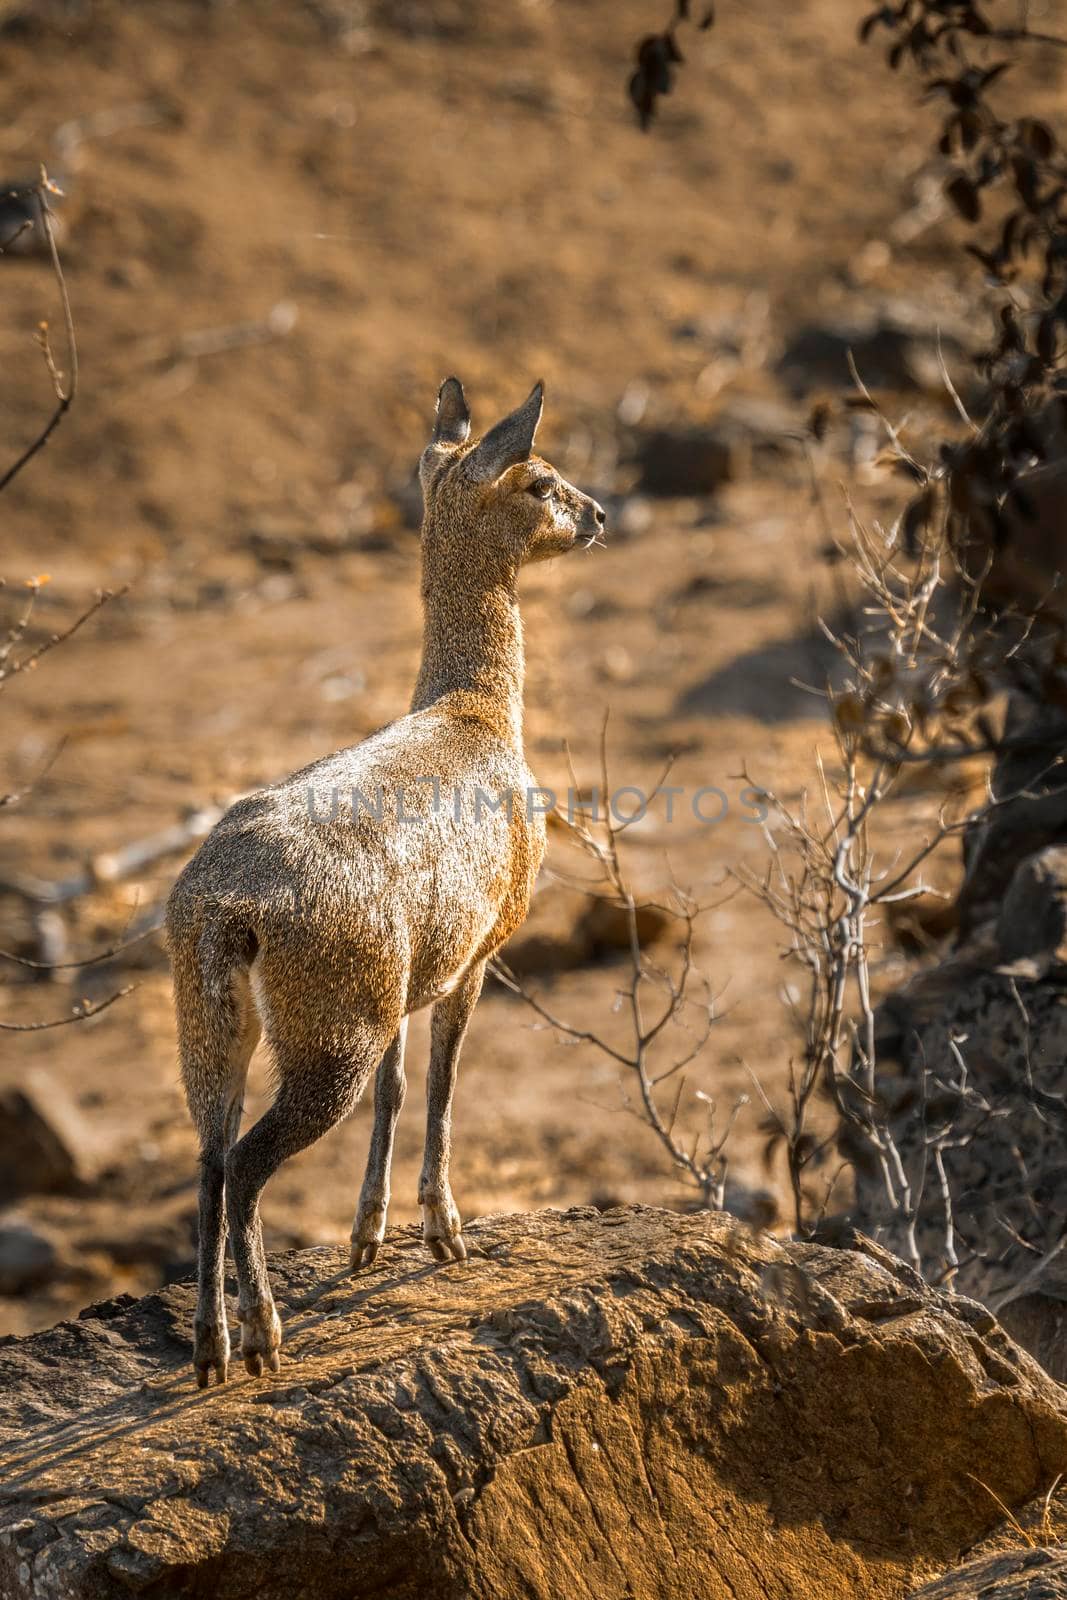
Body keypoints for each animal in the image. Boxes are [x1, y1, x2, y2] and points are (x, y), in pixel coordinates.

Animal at [163, 380, 604, 1382]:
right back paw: (263, 1334)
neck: (474, 713)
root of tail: (225, 911)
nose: (598, 513)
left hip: (213, 1025)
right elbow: (442, 1080)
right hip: (331, 1032)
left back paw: (210, 1348)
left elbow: (400, 1090)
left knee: (206, 1157)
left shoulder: (407, 979)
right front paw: (444, 1231)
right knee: (245, 1165)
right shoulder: (475, 955)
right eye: (539, 479)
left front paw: (368, 1236)